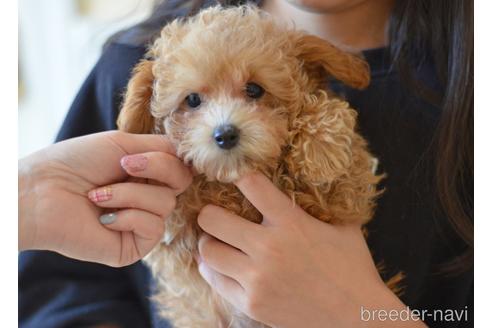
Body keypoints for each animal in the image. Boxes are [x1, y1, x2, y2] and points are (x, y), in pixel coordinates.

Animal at [118, 5, 380, 328]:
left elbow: (328, 126)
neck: (231, 188)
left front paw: (322, 149)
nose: (225, 134)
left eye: (254, 89)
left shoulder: (339, 201)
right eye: (192, 99)